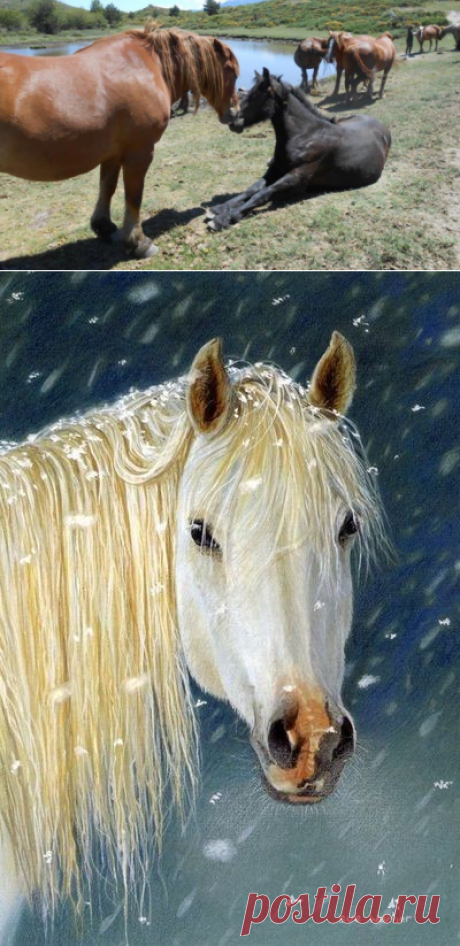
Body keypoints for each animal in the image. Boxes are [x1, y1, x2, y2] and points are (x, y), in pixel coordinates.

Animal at [0, 25, 240, 260]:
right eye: (234, 73)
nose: (236, 115)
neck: (146, 66)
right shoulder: (139, 152)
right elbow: (133, 196)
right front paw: (138, 242)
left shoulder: (113, 153)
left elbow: (107, 187)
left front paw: (104, 228)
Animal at [206, 69, 391, 232]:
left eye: (257, 95)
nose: (232, 121)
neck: (305, 135)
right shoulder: (275, 170)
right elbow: (253, 188)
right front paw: (220, 208)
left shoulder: (297, 178)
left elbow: (264, 193)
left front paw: (226, 218)